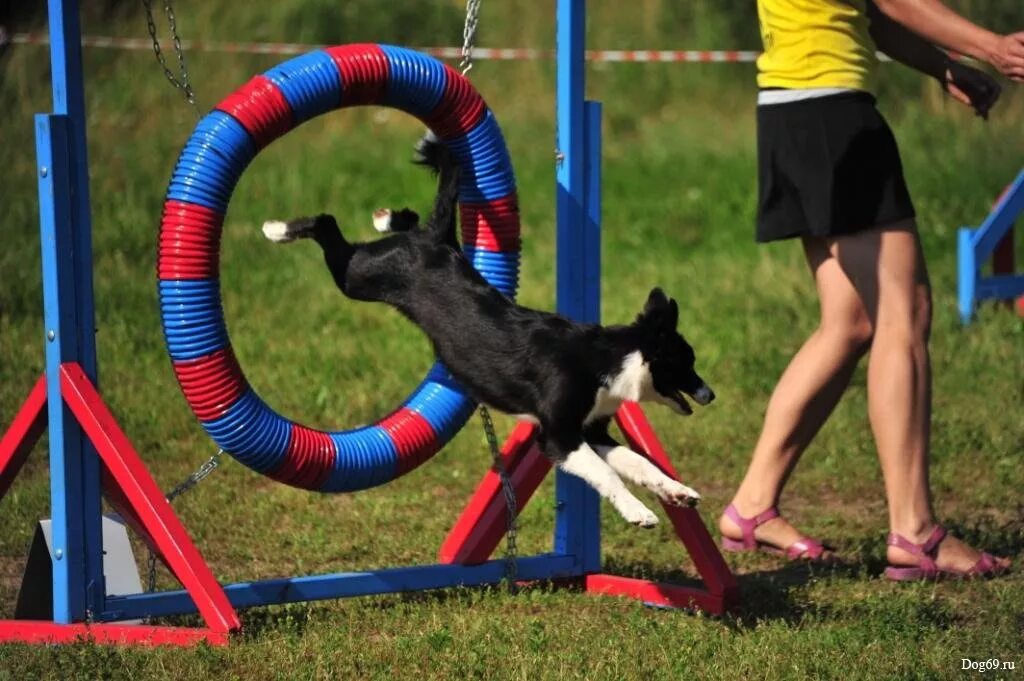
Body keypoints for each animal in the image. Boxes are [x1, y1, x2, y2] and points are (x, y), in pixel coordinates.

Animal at [260, 137, 716, 524]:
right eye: (687, 362)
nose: (711, 394)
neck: (606, 358)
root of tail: (438, 241)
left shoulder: (591, 430)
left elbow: (639, 463)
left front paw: (677, 492)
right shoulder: (558, 437)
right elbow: (608, 475)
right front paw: (640, 513)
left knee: (404, 220)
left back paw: (388, 217)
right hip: (358, 277)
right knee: (327, 223)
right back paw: (276, 230)